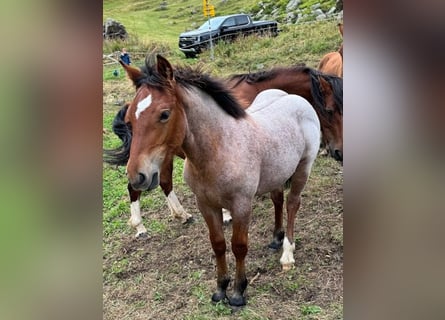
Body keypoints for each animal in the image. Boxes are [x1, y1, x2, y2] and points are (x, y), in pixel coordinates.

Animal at [107, 53, 320, 306]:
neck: (218, 150)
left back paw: (287, 254)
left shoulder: (241, 204)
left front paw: (238, 292)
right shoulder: (205, 204)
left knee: (292, 203)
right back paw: (276, 239)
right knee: (278, 199)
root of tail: (296, 99)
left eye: (164, 114)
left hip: (303, 167)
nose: (137, 176)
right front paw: (220, 289)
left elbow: (239, 246)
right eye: (130, 119)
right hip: (277, 171)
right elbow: (218, 244)